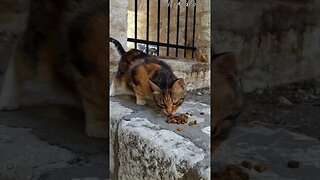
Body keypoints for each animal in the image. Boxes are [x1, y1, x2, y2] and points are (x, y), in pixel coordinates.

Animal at [0, 0, 108, 138]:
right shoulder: (85, 48)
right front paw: (99, 124)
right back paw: (7, 100)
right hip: (42, 49)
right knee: (20, 52)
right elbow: (94, 96)